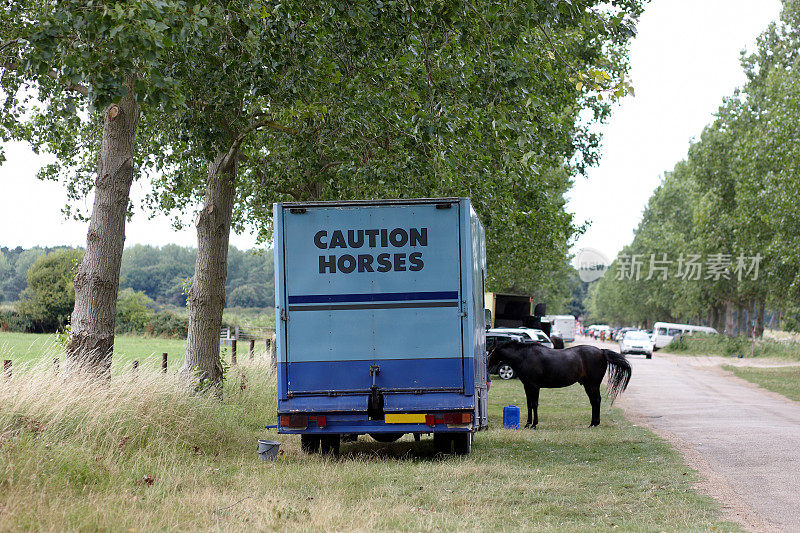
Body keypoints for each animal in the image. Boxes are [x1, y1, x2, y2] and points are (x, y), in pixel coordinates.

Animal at [488, 340, 632, 428]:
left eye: (490, 351)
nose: (487, 365)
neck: (525, 357)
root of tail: (602, 351)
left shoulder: (534, 386)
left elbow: (534, 404)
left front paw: (534, 424)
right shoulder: (527, 386)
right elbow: (529, 404)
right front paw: (527, 424)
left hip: (593, 384)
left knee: (596, 400)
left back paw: (595, 424)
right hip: (588, 385)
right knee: (593, 401)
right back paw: (592, 423)